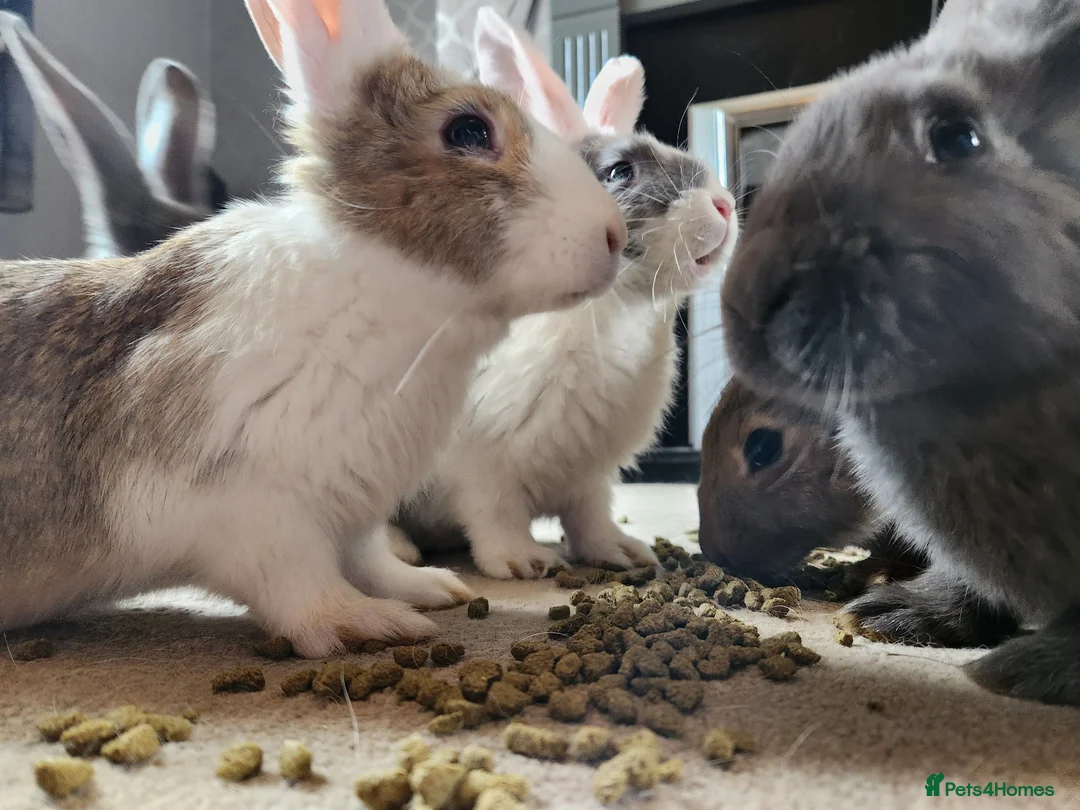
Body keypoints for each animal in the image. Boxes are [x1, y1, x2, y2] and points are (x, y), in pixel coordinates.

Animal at [388, 7, 737, 580]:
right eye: (620, 171)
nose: (724, 204)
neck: (610, 311)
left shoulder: (589, 476)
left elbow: (590, 517)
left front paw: (622, 553)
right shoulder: (481, 462)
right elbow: (494, 512)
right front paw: (521, 562)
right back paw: (401, 552)